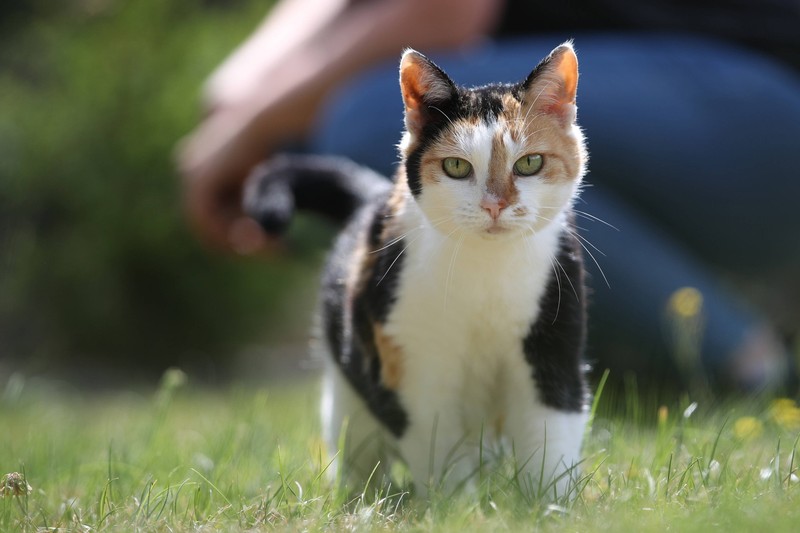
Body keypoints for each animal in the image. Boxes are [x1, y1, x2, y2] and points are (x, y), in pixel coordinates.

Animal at [247, 42, 592, 498]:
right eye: (457, 167)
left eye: (530, 163)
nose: (495, 205)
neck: (485, 272)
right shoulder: (411, 372)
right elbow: (439, 449)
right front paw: (459, 506)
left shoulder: (554, 345)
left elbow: (550, 439)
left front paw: (548, 504)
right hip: (346, 396)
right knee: (357, 449)